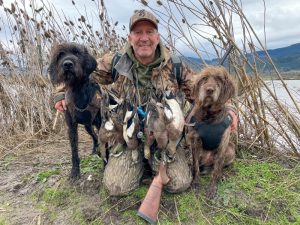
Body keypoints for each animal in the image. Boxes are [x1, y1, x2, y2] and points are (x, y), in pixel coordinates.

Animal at [48, 42, 102, 179]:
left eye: (77, 53)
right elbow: (74, 150)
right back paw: (95, 150)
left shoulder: (100, 122)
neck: (78, 88)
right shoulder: (71, 126)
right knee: (94, 137)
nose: (67, 64)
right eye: (60, 55)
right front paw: (75, 172)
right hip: (88, 126)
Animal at [185, 65, 237, 199]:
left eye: (219, 79)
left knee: (219, 166)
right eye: (204, 78)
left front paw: (212, 188)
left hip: (230, 150)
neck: (210, 115)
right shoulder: (195, 141)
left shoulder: (223, 144)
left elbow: (217, 169)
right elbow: (196, 166)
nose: (209, 90)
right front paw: (196, 183)